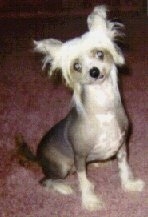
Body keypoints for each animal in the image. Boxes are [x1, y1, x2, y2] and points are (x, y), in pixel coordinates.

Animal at [16, 5, 145, 211]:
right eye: (76, 66)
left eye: (99, 54)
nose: (94, 71)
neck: (103, 110)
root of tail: (38, 156)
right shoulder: (79, 156)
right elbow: (83, 180)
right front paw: (89, 200)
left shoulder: (122, 146)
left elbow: (124, 168)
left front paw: (129, 185)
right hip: (61, 167)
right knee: (45, 180)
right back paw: (63, 187)